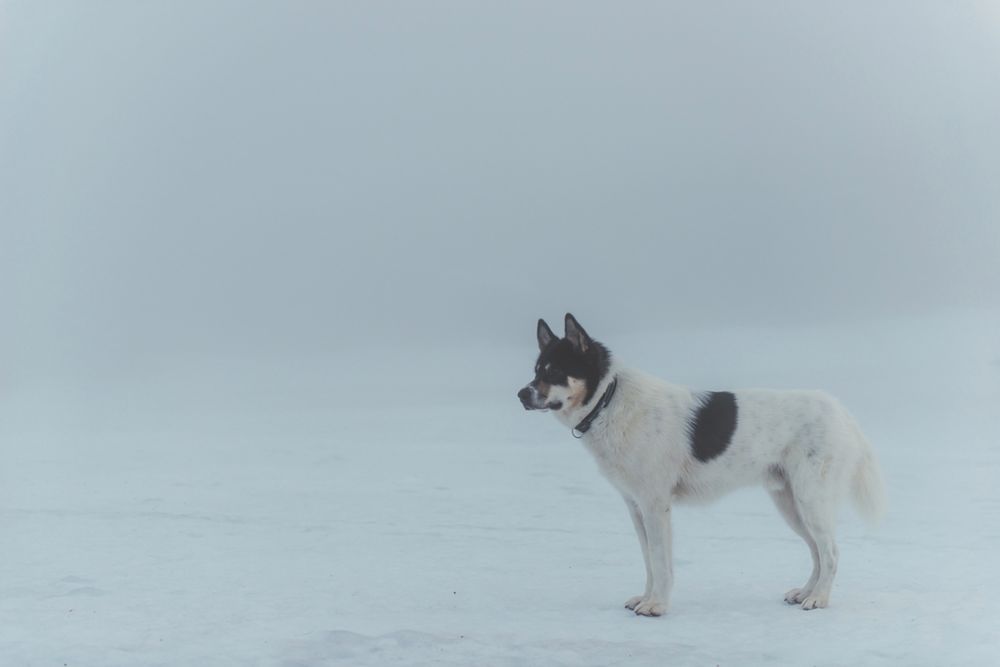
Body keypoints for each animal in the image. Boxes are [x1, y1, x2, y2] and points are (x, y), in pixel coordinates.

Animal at [516, 314, 884, 616]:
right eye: (536, 371)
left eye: (554, 372)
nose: (521, 394)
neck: (609, 400)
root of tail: (840, 411)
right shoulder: (636, 507)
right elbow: (649, 561)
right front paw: (646, 598)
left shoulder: (655, 506)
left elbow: (660, 561)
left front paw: (657, 606)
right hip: (791, 504)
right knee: (817, 553)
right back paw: (806, 593)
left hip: (811, 500)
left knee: (831, 552)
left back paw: (819, 599)